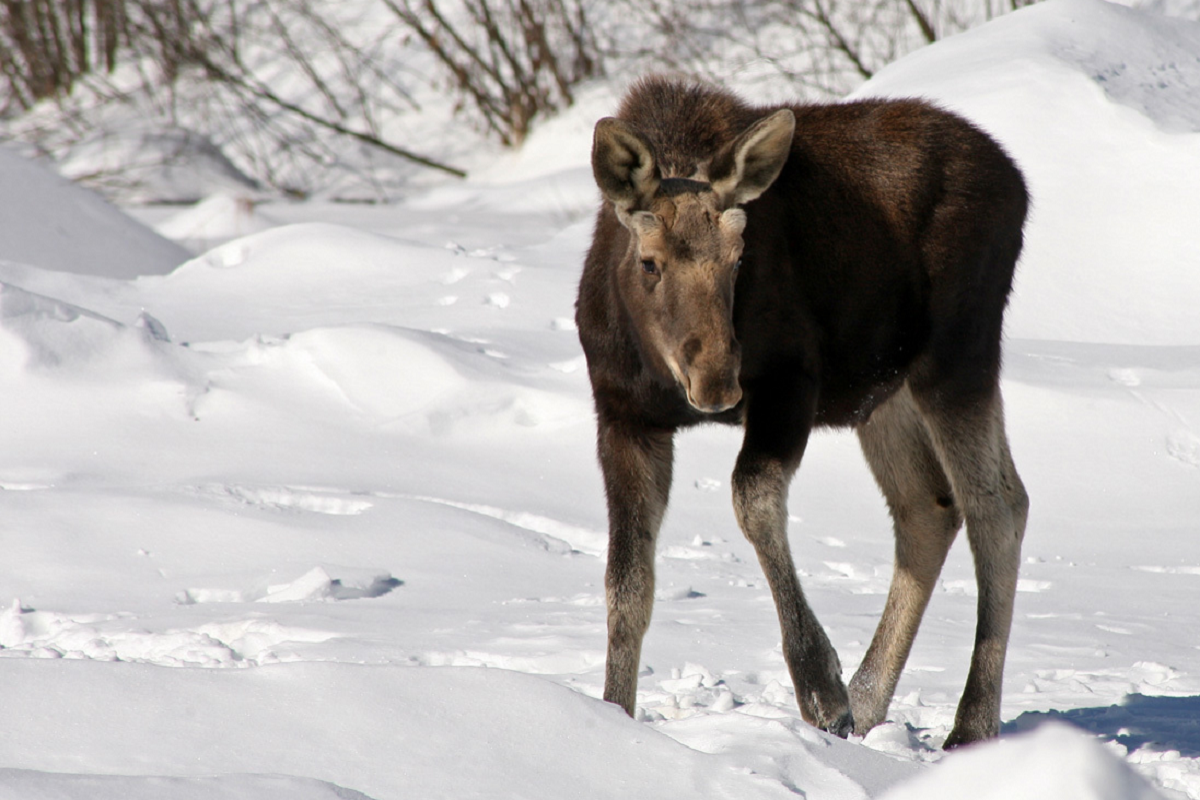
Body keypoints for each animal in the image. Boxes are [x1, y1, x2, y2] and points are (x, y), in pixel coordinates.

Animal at [575, 77, 1030, 749]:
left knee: (994, 507)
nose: (718, 381)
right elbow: (627, 586)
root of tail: (1017, 182)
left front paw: (821, 689)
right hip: (885, 390)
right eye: (650, 261)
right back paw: (868, 704)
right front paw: (614, 713)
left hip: (958, 354)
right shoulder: (624, 415)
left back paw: (968, 723)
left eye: (739, 258)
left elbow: (753, 501)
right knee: (932, 505)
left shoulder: (790, 383)